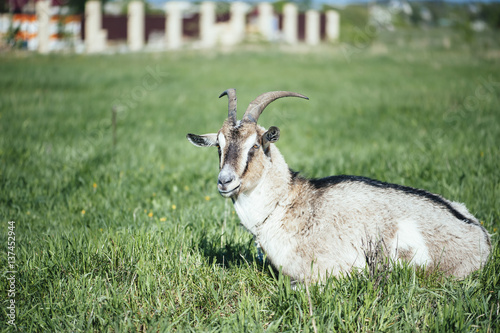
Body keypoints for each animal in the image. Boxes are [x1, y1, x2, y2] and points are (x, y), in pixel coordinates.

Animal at [188, 88, 492, 280]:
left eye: (254, 146)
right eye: (219, 146)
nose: (225, 181)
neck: (290, 203)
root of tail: (483, 238)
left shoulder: (329, 270)